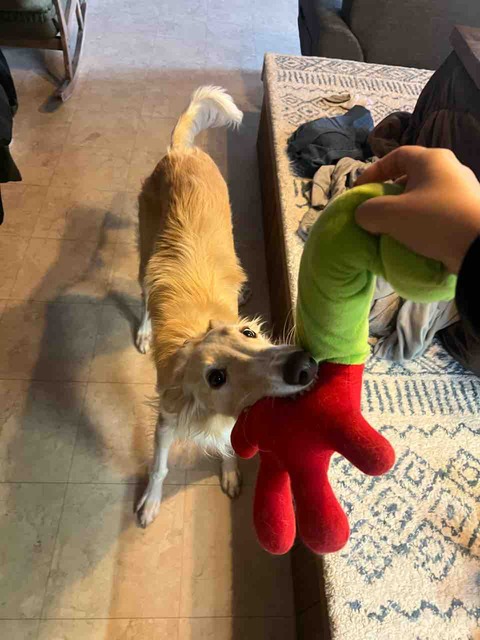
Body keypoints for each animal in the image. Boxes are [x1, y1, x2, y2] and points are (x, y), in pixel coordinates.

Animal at [135, 86, 317, 528]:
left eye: (249, 332)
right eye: (215, 377)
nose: (303, 365)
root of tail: (181, 151)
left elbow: (230, 446)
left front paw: (231, 471)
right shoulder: (166, 419)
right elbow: (159, 466)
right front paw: (150, 503)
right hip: (146, 249)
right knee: (144, 293)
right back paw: (145, 331)